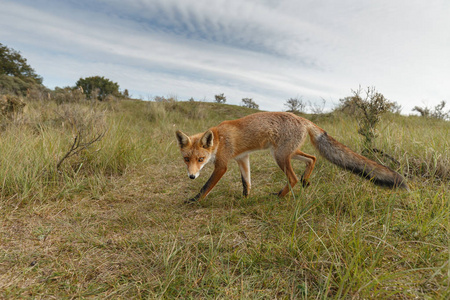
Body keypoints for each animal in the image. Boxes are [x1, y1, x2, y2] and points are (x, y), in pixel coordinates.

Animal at [176, 111, 408, 203]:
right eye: (186, 159)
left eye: (200, 160)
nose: (191, 176)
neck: (219, 138)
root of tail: (303, 119)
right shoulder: (243, 158)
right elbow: (246, 182)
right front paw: (245, 197)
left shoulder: (222, 165)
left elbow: (206, 186)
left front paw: (194, 200)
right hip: (288, 153)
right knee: (312, 158)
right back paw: (305, 181)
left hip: (279, 156)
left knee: (293, 178)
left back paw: (280, 195)